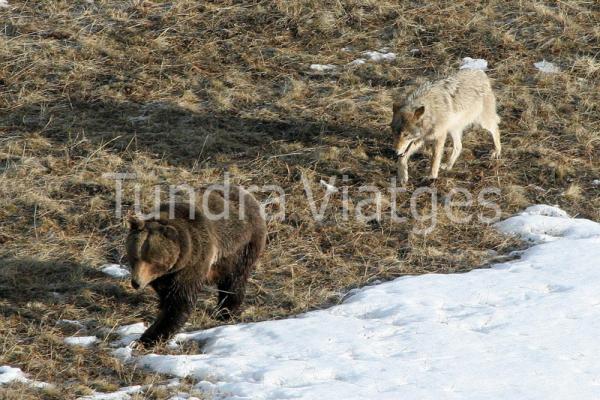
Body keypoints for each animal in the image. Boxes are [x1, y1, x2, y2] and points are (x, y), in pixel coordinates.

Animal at [125, 185, 266, 346]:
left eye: (152, 260)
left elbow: (180, 300)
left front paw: (149, 337)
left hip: (241, 247)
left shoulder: (193, 260)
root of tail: (249, 196)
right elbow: (165, 293)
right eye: (135, 256)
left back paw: (224, 312)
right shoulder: (166, 275)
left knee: (234, 281)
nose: (136, 282)